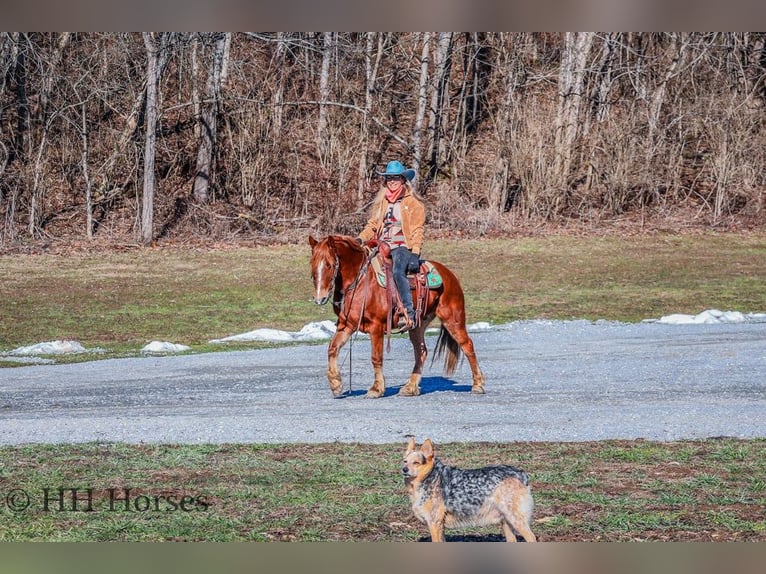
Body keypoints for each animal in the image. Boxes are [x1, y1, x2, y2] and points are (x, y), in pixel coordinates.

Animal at [308, 234, 485, 398]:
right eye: (312, 264)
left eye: (330, 265)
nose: (319, 298)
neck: (360, 281)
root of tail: (449, 275)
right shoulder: (347, 326)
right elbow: (332, 348)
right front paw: (336, 384)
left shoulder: (376, 327)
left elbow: (376, 357)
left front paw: (376, 389)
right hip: (418, 325)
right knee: (421, 352)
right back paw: (410, 387)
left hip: (453, 319)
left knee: (467, 345)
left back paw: (478, 384)